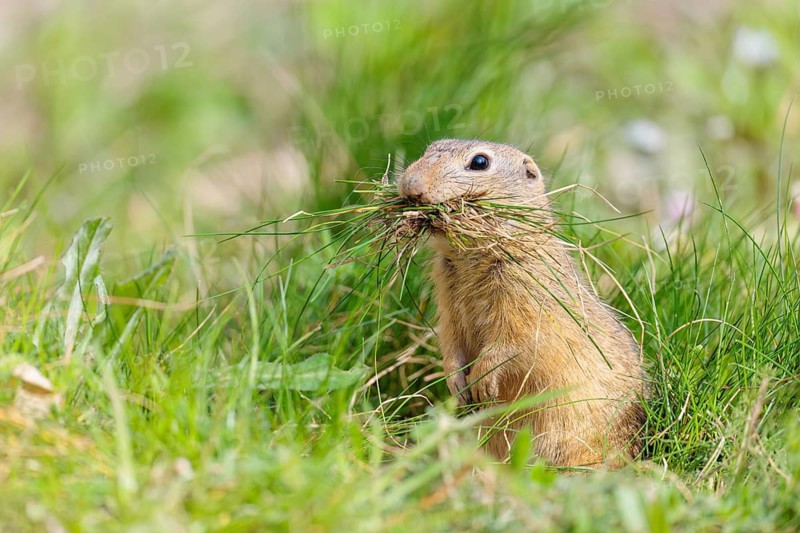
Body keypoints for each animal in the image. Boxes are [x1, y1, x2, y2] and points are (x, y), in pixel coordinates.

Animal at [396, 139, 647, 467]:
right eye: (429, 149)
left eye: (479, 162)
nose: (410, 184)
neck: (472, 254)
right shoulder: (447, 303)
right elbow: (451, 342)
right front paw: (458, 386)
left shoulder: (526, 300)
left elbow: (514, 343)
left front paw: (482, 383)